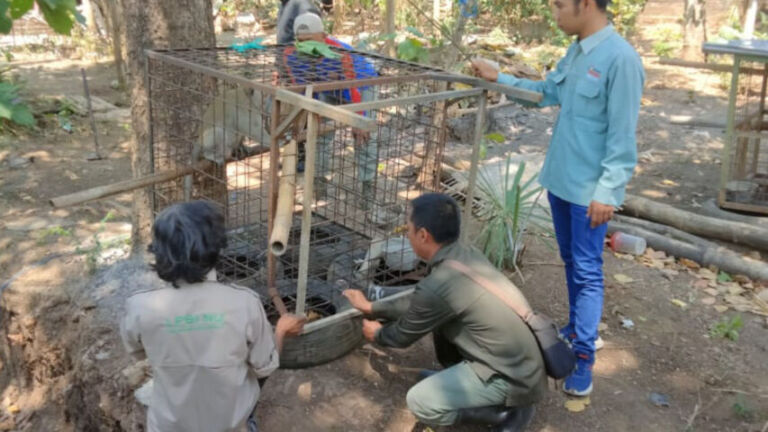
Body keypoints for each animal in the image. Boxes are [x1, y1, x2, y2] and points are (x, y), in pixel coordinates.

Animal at [144, 45, 540, 366]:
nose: (276, 103)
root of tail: (195, 147)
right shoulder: (244, 109)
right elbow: (256, 127)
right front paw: (276, 137)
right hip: (208, 137)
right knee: (216, 139)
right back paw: (219, 152)